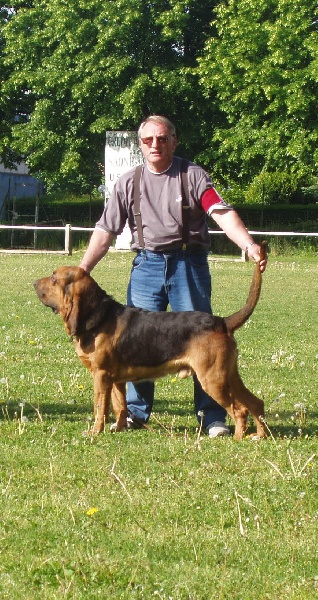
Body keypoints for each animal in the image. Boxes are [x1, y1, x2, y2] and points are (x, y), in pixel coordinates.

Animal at [33, 241, 268, 438]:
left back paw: (238, 438)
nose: (34, 283)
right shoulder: (116, 380)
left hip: (213, 380)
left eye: (53, 278)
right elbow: (120, 406)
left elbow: (100, 407)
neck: (97, 315)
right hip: (229, 376)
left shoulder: (101, 376)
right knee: (256, 403)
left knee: (240, 410)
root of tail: (222, 322)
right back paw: (259, 436)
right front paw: (120, 428)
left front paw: (95, 432)